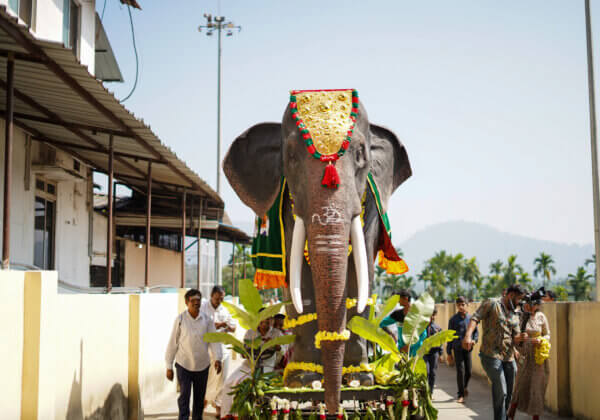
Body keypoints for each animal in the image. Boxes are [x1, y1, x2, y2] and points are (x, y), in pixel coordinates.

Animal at [223, 89, 410, 414]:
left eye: (360, 155)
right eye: (291, 158)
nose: (335, 408)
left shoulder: (370, 205)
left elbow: (361, 275)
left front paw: (360, 380)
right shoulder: (287, 204)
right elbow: (298, 285)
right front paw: (302, 381)